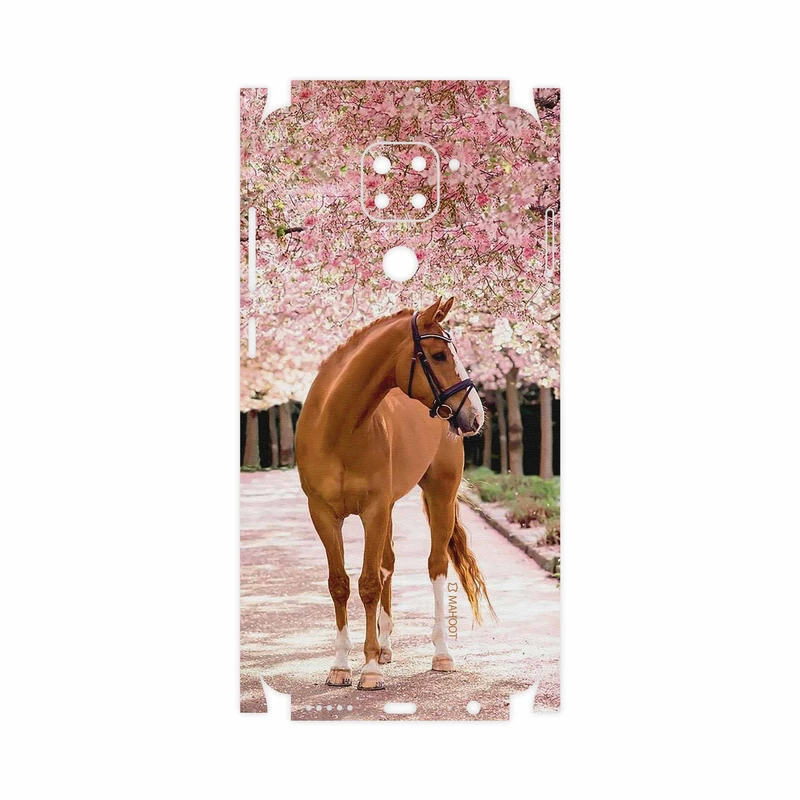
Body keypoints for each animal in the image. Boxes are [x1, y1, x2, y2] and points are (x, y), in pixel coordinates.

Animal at [295, 297, 494, 690]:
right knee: (388, 563)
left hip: (439, 494)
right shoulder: (324, 514)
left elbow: (369, 583)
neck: (338, 428)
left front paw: (369, 669)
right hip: (388, 508)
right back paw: (385, 647)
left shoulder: (373, 510)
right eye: (438, 355)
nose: (476, 416)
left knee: (435, 566)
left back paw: (441, 653)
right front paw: (341, 666)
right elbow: (340, 584)